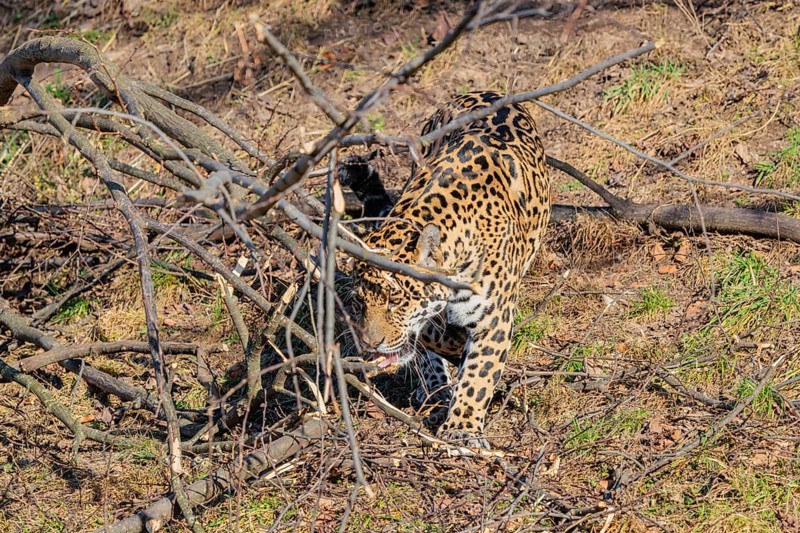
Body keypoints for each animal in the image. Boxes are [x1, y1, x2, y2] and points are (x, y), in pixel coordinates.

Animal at [350, 90, 551, 447]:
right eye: (360, 302)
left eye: (395, 301)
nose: (370, 345)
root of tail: (483, 91)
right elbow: (428, 339)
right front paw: (441, 382)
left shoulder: (494, 317)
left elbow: (478, 376)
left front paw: (462, 429)